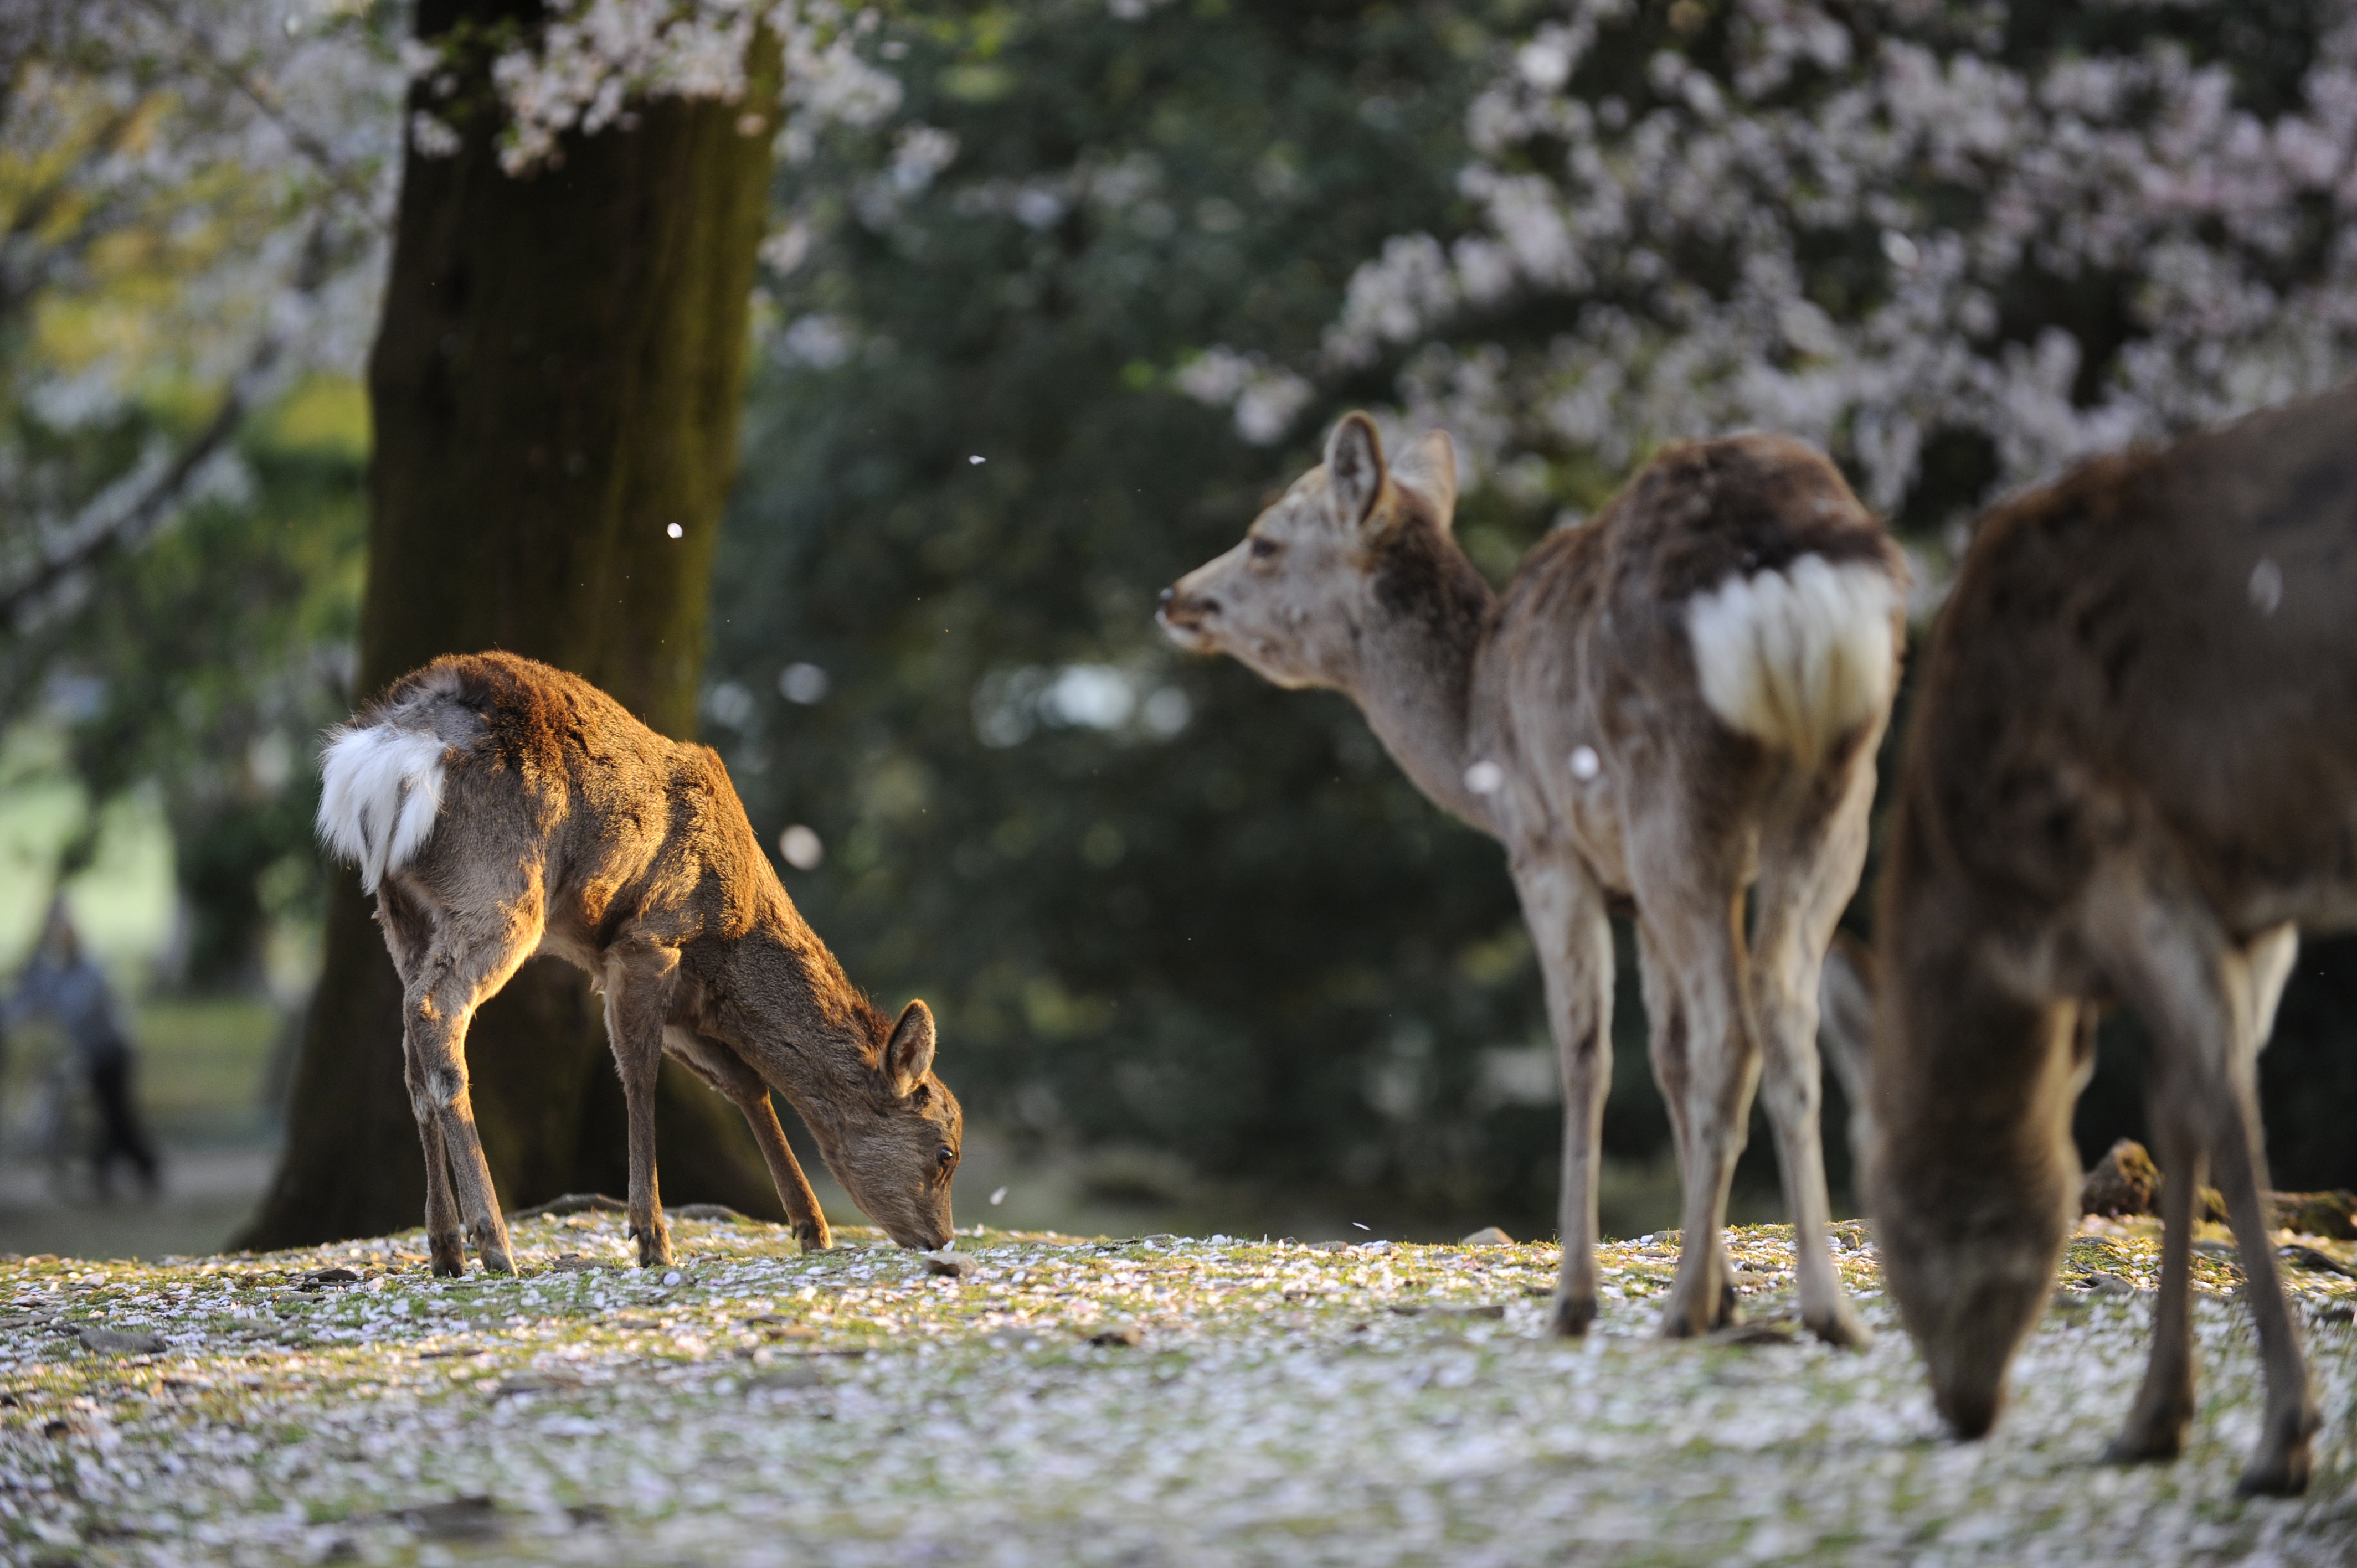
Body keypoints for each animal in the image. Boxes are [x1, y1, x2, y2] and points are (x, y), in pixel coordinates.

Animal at [318, 646, 961, 1273]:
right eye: (944, 1153)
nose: (940, 1240)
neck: (729, 944)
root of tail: (383, 754)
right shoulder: (648, 941)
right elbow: (640, 1071)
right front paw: (652, 1235)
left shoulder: (680, 995)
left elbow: (744, 1081)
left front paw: (811, 1227)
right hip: (496, 890)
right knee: (437, 1014)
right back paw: (494, 1242)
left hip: (401, 912)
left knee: (410, 1044)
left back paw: (446, 1247)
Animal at [1169, 415, 1904, 1348]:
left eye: (1264, 541)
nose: (1176, 596)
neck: (1478, 734)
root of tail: (1787, 572)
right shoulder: (1636, 893)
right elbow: (1666, 1056)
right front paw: (1731, 1290)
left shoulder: (1549, 848)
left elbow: (1586, 1051)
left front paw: (1581, 1298)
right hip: (1839, 793)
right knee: (1784, 1013)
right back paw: (1825, 1309)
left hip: (1675, 796)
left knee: (1732, 1031)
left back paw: (1683, 1309)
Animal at [1857, 379, 2357, 1490]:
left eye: (1887, 1216)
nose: (1960, 1406)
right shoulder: (2249, 910)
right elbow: (2182, 1112)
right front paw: (2157, 1418)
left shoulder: (2123, 858)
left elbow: (2219, 1111)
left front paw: (2278, 1437)